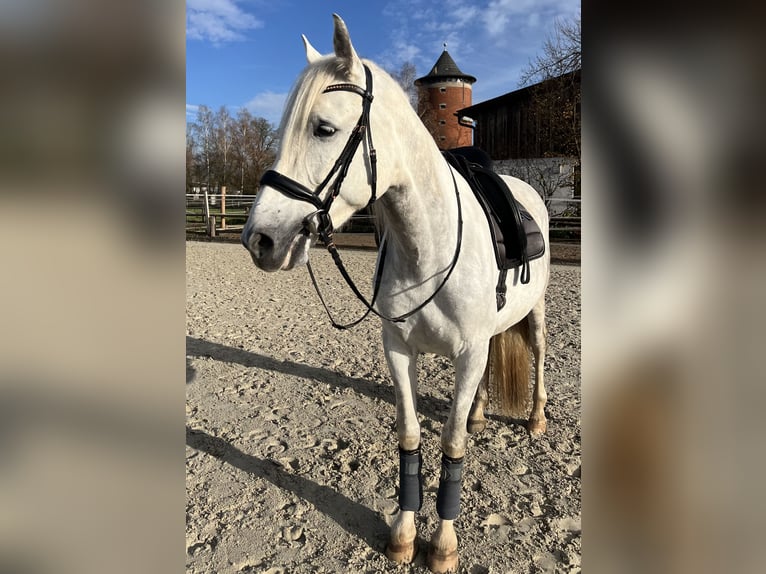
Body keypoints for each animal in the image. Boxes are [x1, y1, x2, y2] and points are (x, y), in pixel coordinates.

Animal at [243, 14, 548, 574]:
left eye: (323, 129)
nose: (260, 240)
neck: (427, 245)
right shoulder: (399, 351)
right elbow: (409, 436)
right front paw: (404, 536)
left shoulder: (467, 352)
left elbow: (452, 443)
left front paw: (443, 544)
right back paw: (479, 411)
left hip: (534, 312)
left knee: (537, 353)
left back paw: (536, 417)